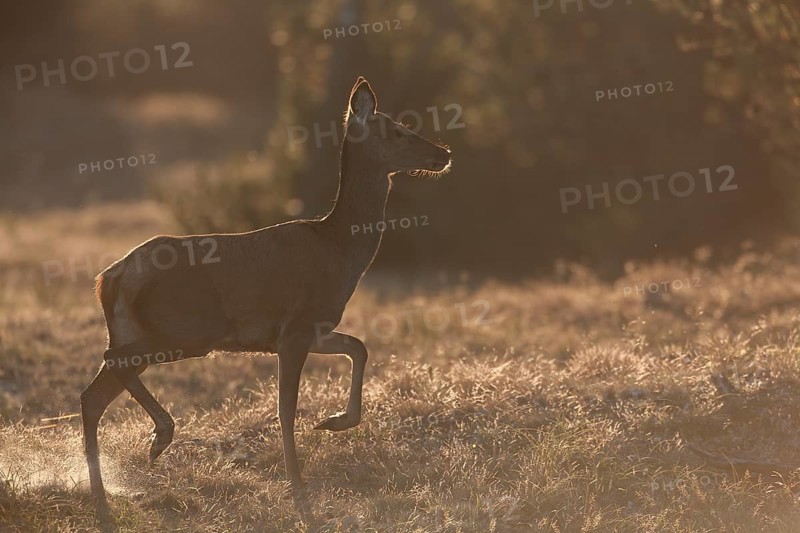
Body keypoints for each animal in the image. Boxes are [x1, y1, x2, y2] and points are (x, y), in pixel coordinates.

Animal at [80, 77, 452, 499]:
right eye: (397, 130)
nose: (443, 153)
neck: (340, 249)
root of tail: (111, 277)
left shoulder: (312, 328)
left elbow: (359, 347)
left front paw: (334, 421)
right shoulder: (295, 328)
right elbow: (285, 409)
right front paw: (298, 485)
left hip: (139, 328)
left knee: (94, 394)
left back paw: (101, 490)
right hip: (189, 328)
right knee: (111, 361)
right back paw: (160, 436)